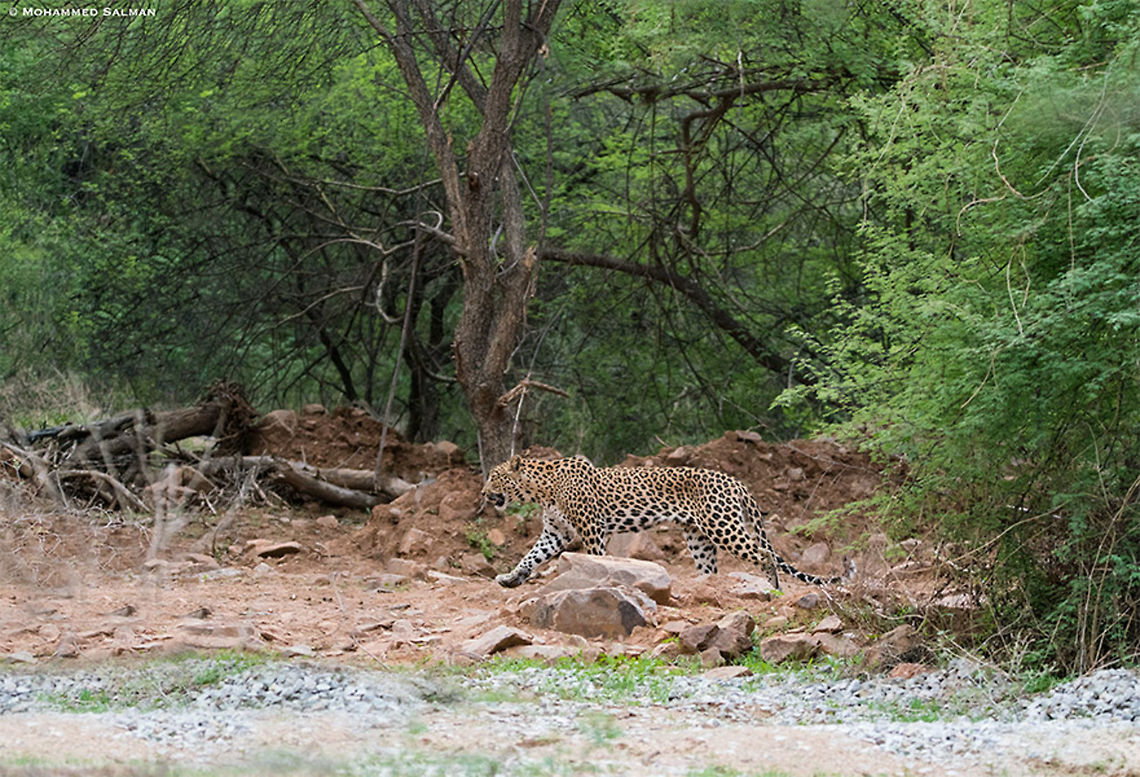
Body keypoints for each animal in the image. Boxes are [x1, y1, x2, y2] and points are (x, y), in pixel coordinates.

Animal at [482, 455, 854, 590]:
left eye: (495, 477)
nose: (484, 493)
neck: (541, 489)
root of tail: (736, 481)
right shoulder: (555, 533)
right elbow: (529, 556)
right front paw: (510, 578)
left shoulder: (591, 530)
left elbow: (596, 558)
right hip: (699, 537)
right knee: (711, 569)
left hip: (723, 526)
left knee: (762, 554)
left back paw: (772, 589)